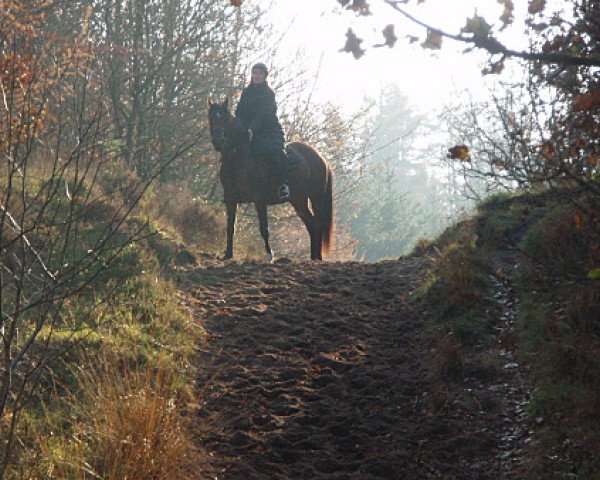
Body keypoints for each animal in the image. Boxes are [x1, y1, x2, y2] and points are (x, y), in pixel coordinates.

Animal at [209, 98, 336, 260]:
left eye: (224, 118)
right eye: (211, 118)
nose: (218, 141)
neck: (239, 157)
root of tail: (320, 158)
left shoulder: (259, 200)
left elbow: (264, 228)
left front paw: (270, 256)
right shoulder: (231, 199)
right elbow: (230, 226)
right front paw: (228, 254)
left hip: (315, 198)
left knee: (317, 225)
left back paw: (317, 258)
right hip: (299, 201)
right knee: (312, 225)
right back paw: (314, 258)